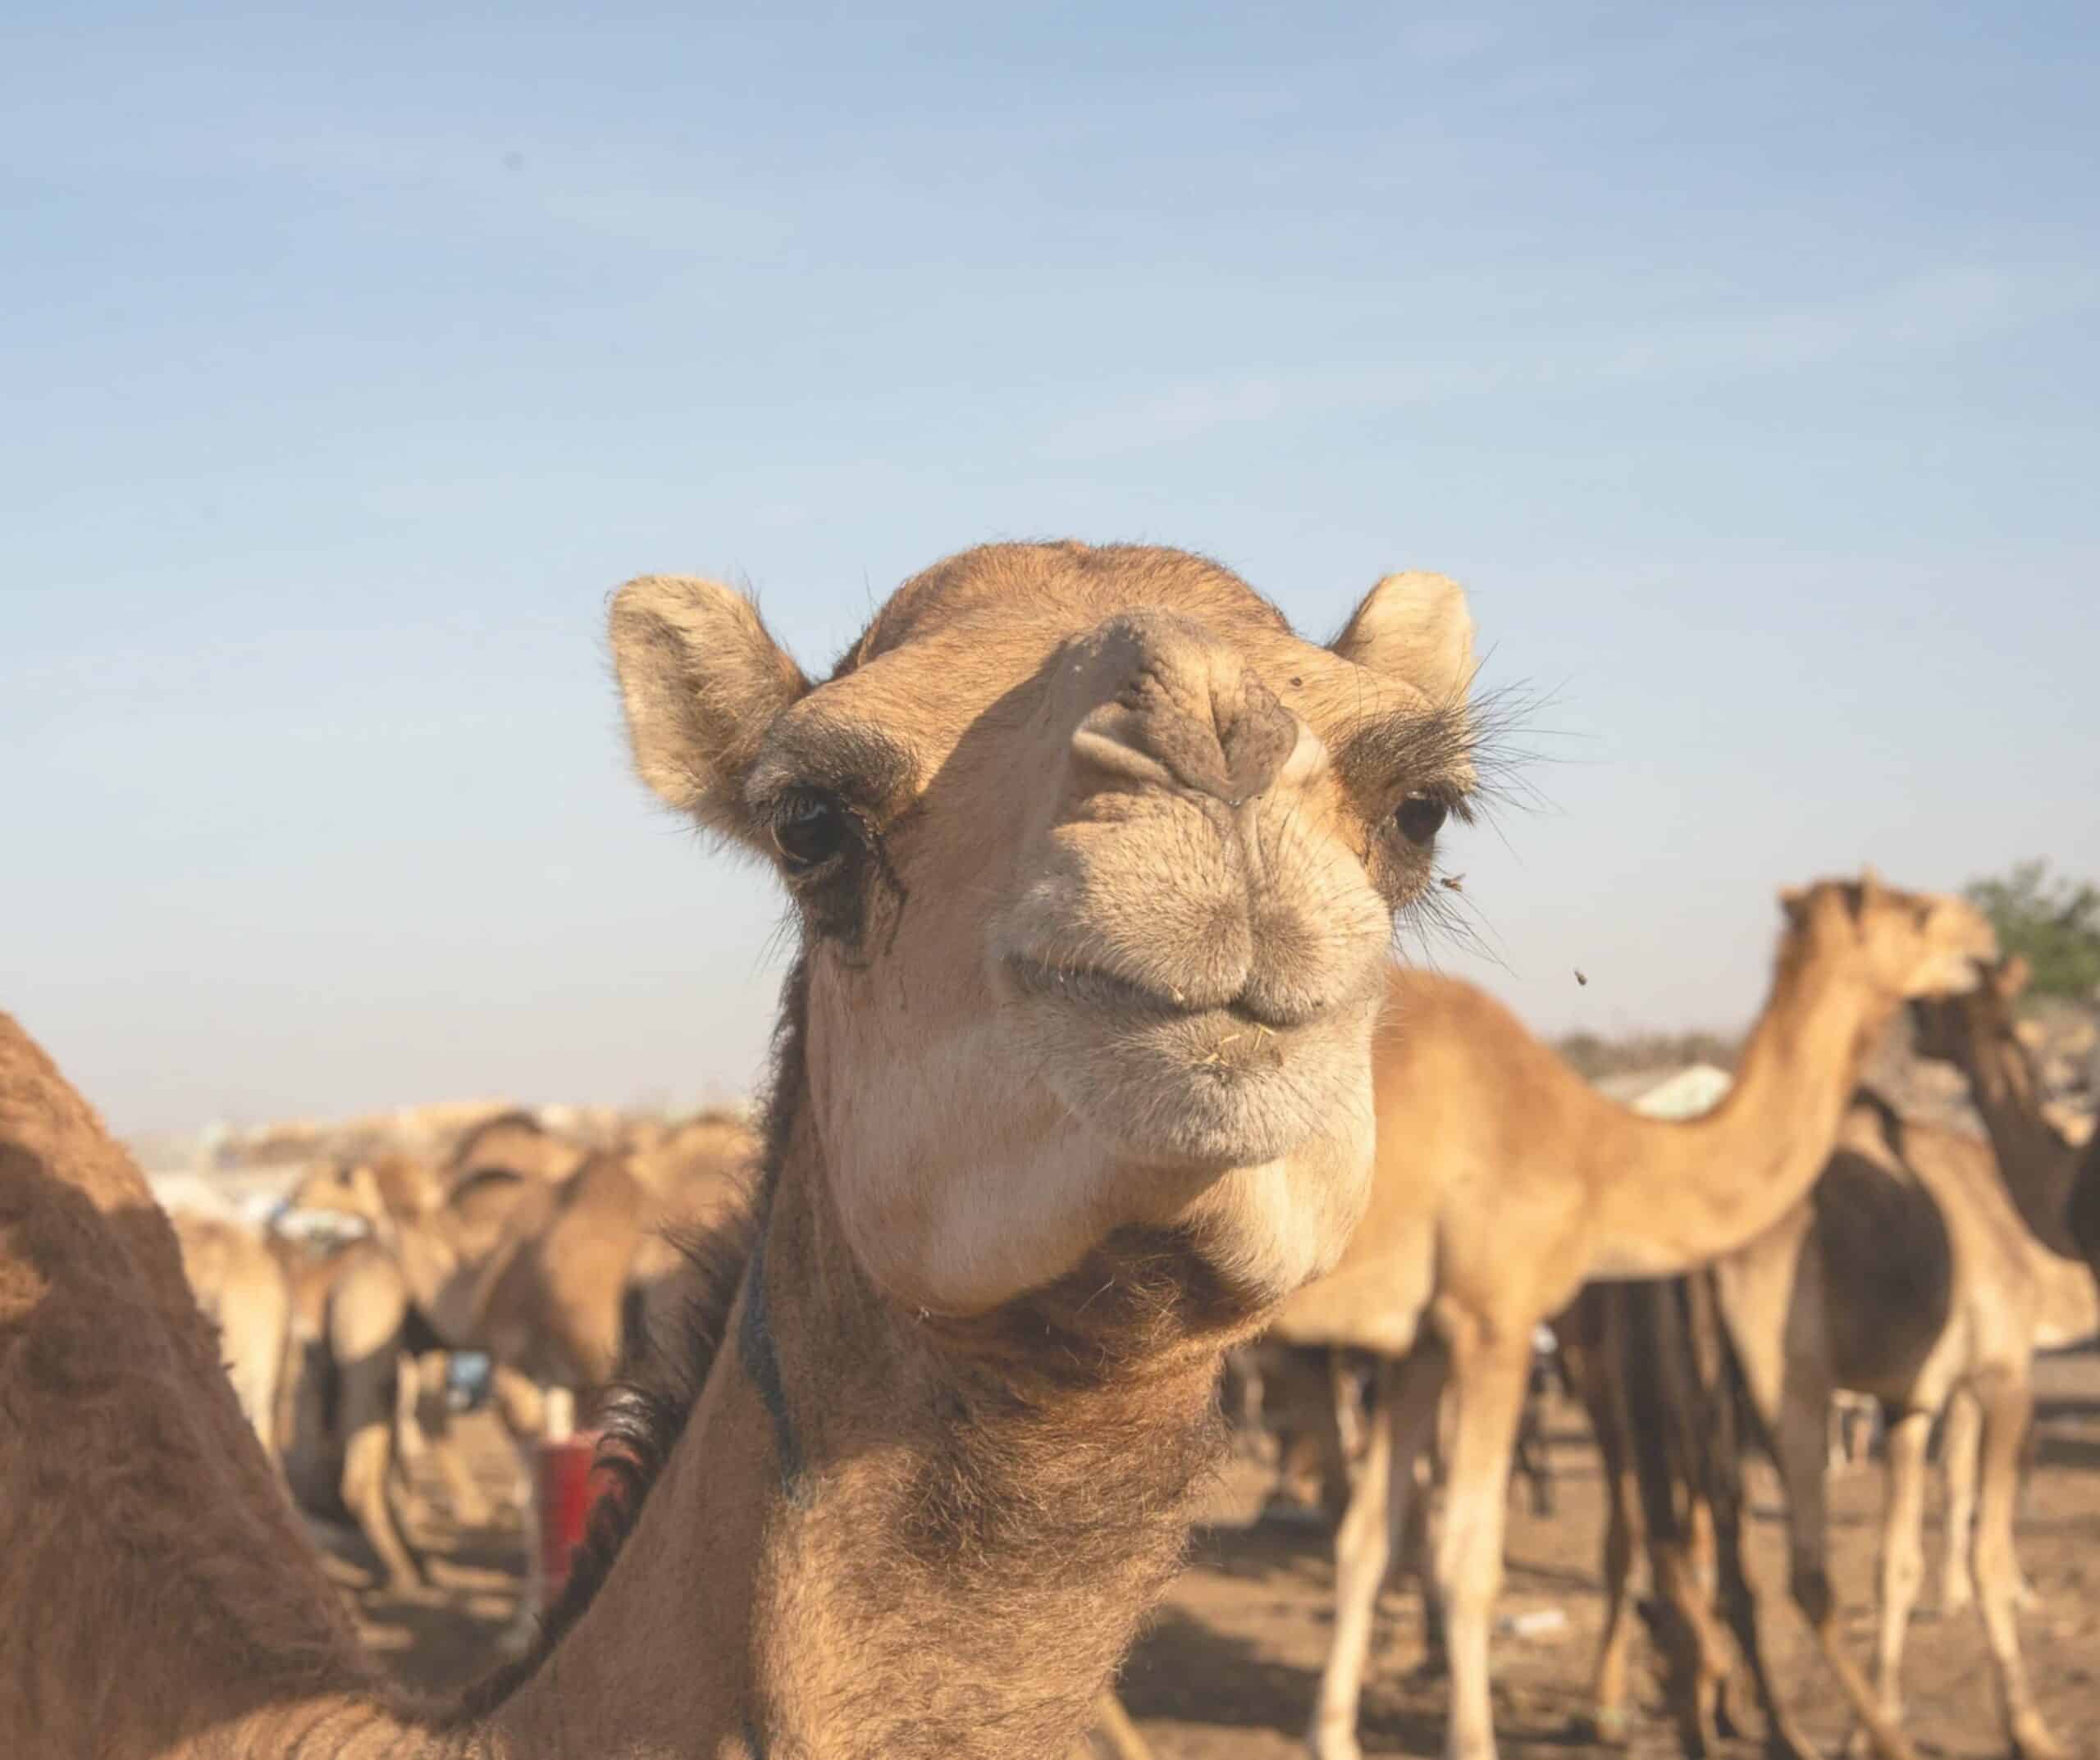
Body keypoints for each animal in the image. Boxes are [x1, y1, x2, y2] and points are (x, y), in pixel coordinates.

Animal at [1272, 873, 1998, 1760]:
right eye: (1918, 914)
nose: (1982, 938)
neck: (1593, 1147)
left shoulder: (1425, 1340)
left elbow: (1367, 1540)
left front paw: (1333, 1734)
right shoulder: (1494, 1318)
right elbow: (1466, 1560)